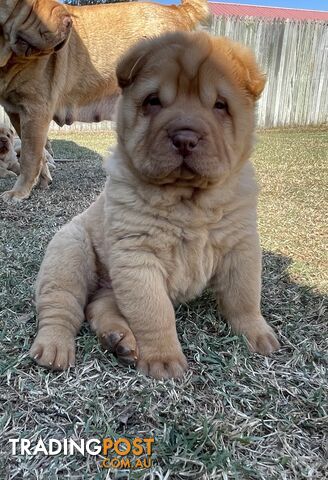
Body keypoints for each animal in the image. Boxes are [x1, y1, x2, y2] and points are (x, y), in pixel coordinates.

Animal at [0, 0, 209, 201]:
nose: (69, 22)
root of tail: (178, 11)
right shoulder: (16, 113)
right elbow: (39, 155)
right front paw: (42, 181)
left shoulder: (35, 110)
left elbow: (29, 157)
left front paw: (19, 192)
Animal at [30, 31, 280, 380]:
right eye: (154, 101)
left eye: (220, 105)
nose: (185, 137)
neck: (188, 201)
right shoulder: (139, 257)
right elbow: (155, 312)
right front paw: (163, 361)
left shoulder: (240, 246)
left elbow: (244, 295)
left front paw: (258, 335)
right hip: (68, 256)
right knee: (61, 307)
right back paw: (55, 350)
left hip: (106, 285)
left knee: (98, 306)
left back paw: (119, 340)